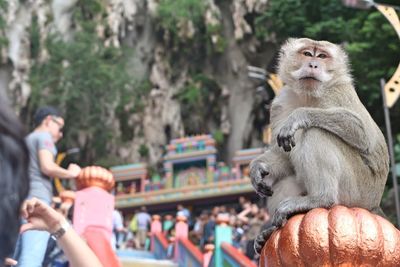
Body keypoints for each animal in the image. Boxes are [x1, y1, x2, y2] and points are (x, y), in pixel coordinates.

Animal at [250, 38, 388, 255]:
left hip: (357, 192)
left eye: (322, 56)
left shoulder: (338, 91)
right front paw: (258, 167)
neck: (308, 96)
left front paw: (299, 116)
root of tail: (374, 204)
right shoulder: (280, 102)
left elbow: (361, 132)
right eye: (307, 53)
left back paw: (321, 199)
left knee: (317, 132)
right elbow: (283, 155)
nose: (313, 65)